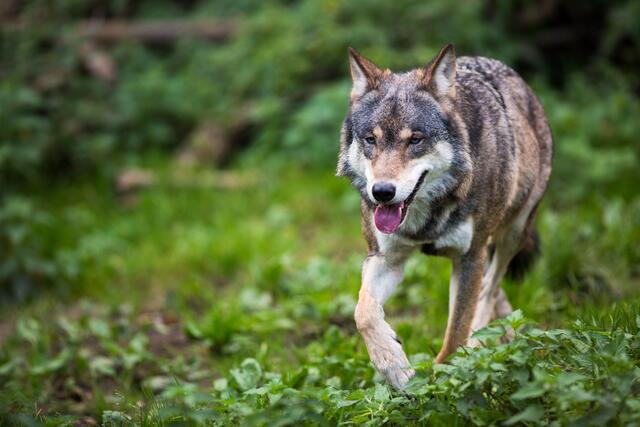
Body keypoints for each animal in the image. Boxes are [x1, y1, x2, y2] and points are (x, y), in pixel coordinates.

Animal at [337, 43, 553, 389]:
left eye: (415, 140)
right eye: (371, 139)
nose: (381, 192)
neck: (426, 218)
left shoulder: (470, 257)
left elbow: (455, 335)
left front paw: (447, 382)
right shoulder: (385, 258)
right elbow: (363, 312)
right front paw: (393, 365)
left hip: (512, 234)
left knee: (489, 289)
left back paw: (482, 344)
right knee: (494, 294)